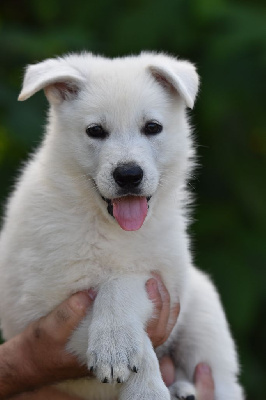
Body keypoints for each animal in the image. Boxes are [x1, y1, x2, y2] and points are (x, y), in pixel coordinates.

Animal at [0, 53, 244, 400]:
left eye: (152, 127)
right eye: (95, 131)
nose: (128, 174)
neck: (112, 228)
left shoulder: (164, 282)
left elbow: (122, 283)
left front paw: (116, 344)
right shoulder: (46, 310)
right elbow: (136, 332)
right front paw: (139, 379)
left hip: (204, 317)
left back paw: (185, 387)